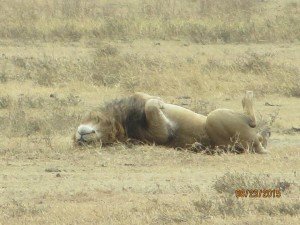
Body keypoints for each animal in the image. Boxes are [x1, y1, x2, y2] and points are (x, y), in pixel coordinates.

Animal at [74, 91, 270, 153]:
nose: (81, 138)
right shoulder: (162, 134)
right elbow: (152, 106)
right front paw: (159, 102)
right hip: (214, 117)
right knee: (252, 121)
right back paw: (249, 98)